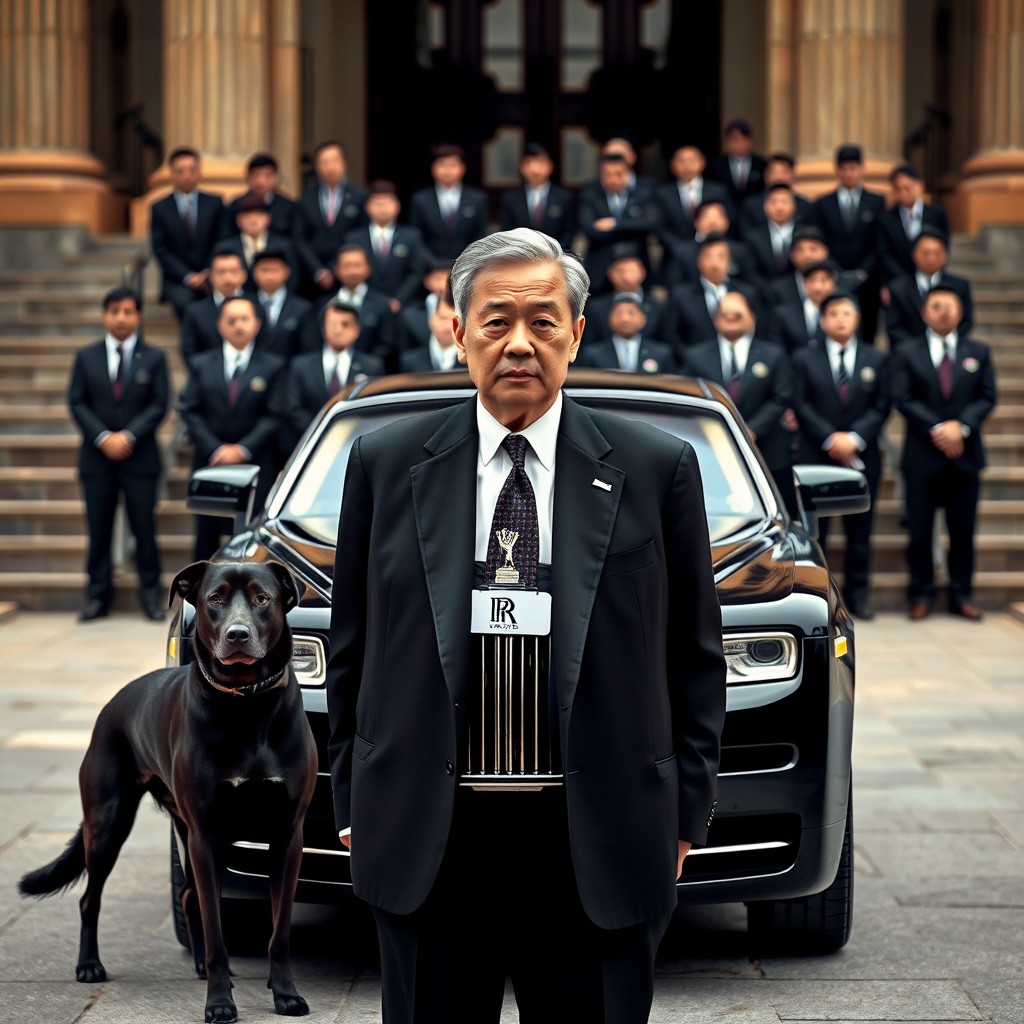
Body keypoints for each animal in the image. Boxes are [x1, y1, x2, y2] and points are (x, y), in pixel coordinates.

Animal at [18, 565, 315, 1019]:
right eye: (215, 598)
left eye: (263, 599)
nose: (238, 634)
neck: (245, 704)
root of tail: (113, 703)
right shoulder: (205, 835)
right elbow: (217, 933)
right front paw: (219, 1004)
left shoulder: (286, 836)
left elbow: (278, 931)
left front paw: (284, 994)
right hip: (109, 824)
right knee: (90, 899)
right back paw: (89, 965)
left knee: (190, 894)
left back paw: (198, 967)